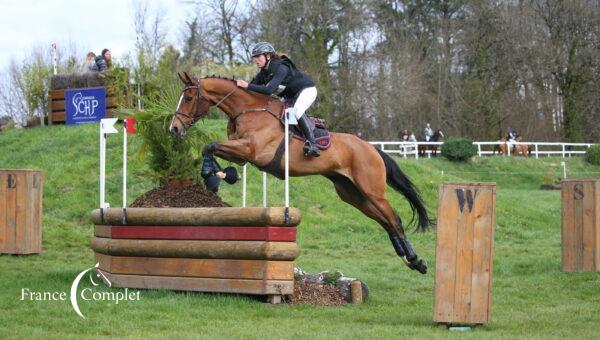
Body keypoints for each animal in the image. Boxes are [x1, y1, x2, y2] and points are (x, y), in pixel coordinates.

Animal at [169, 72, 432, 274]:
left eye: (189, 97)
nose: (174, 129)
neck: (250, 110)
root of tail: (371, 148)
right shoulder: (242, 154)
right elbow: (211, 148)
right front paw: (221, 174)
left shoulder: (251, 150)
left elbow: (210, 145)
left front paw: (212, 175)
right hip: (351, 194)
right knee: (384, 220)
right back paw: (408, 259)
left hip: (372, 189)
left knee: (394, 219)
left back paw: (417, 261)